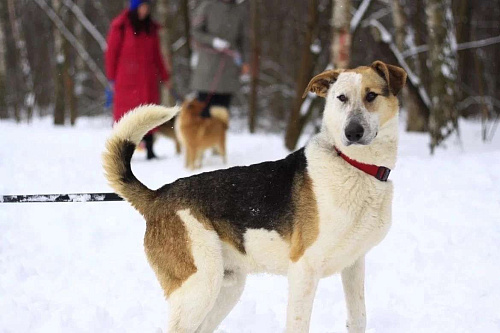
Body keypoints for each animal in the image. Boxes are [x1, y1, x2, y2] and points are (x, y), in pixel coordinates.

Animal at [101, 60, 406, 332]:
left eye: (371, 96)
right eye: (341, 98)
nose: (352, 132)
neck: (355, 166)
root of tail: (158, 196)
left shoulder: (354, 265)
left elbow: (358, 318)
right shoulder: (304, 270)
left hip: (226, 288)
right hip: (198, 289)